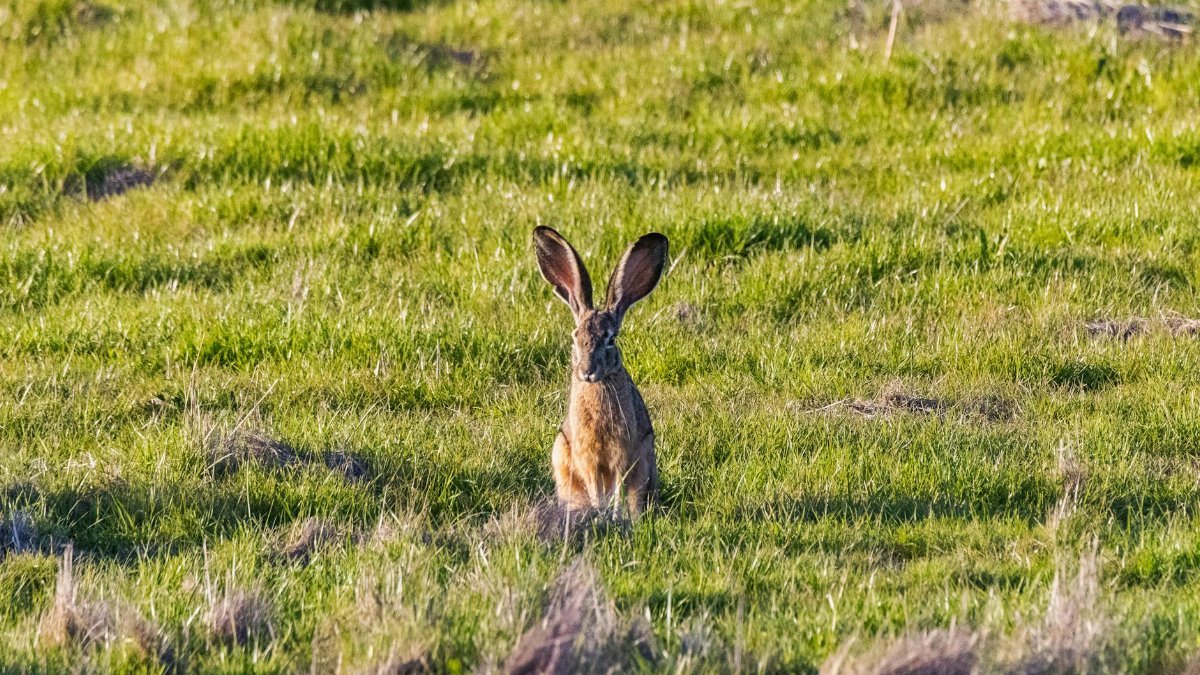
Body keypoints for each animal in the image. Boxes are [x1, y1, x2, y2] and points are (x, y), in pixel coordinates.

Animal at [533, 226, 669, 517]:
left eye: (610, 339)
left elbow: (618, 488)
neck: (598, 386)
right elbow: (596, 487)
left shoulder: (623, 455)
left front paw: (613, 515)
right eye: (575, 338)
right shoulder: (588, 458)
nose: (587, 371)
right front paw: (599, 513)